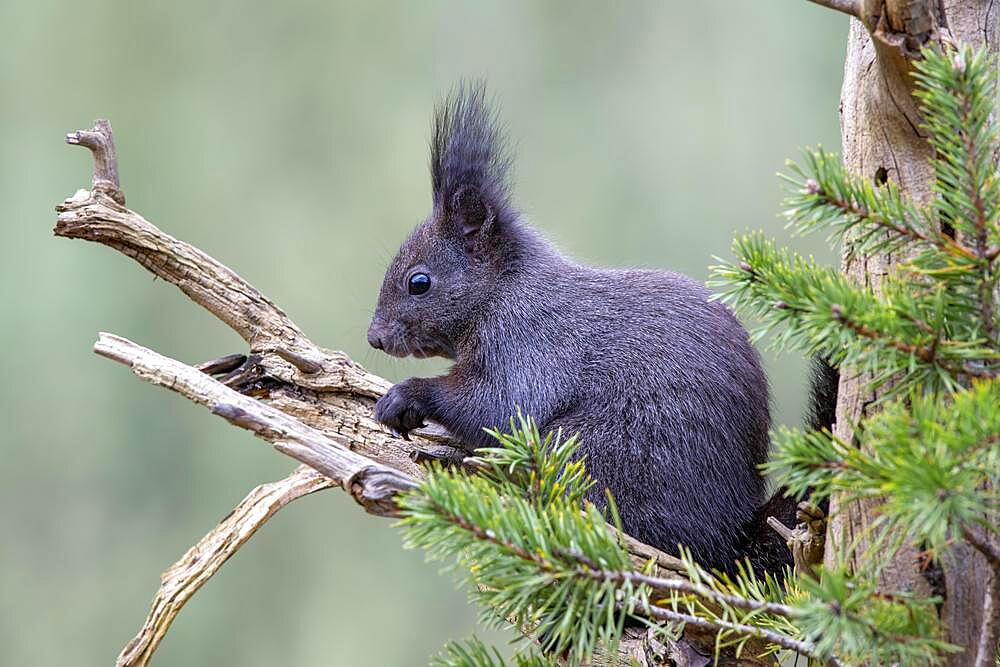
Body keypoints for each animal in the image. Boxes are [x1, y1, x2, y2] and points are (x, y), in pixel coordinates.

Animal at [368, 83, 836, 576]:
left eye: (419, 282)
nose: (374, 337)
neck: (503, 289)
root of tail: (727, 545)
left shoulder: (530, 339)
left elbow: (499, 407)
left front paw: (405, 398)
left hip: (597, 453)